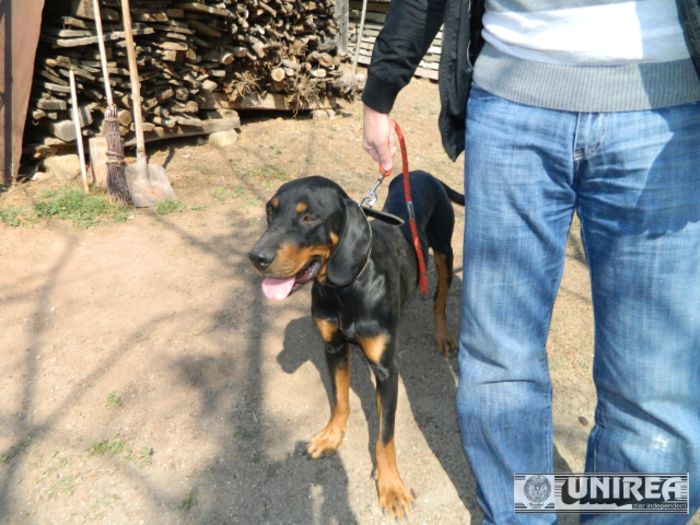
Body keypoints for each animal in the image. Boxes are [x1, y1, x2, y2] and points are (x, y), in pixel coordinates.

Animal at [249, 170, 462, 516]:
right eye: (271, 210)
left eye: (309, 217)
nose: (256, 257)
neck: (345, 290)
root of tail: (422, 173)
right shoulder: (333, 348)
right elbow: (339, 399)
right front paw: (331, 437)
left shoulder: (387, 371)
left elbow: (385, 436)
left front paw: (391, 486)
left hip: (445, 251)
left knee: (439, 298)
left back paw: (443, 336)